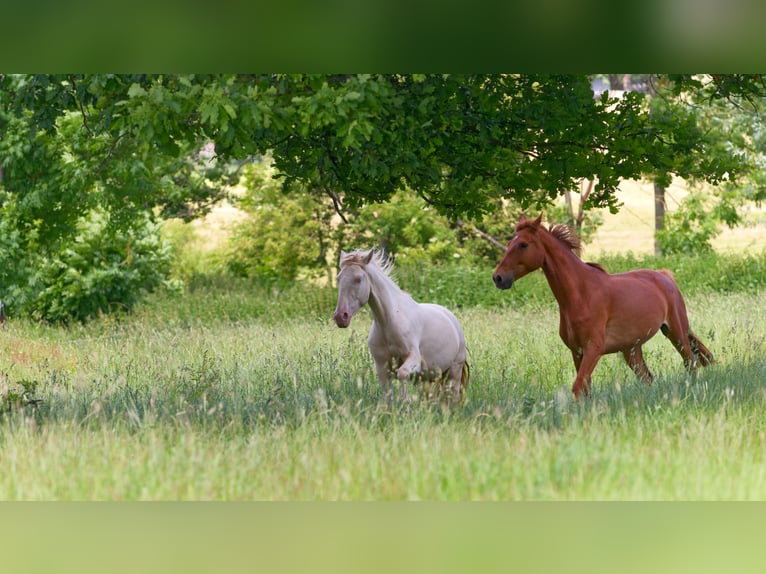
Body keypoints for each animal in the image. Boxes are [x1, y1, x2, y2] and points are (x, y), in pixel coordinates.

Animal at [332, 249, 472, 404]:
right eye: (338, 278)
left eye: (358, 279)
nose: (341, 317)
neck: (388, 321)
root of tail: (451, 318)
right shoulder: (382, 367)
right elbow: (388, 396)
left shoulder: (413, 359)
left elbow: (402, 374)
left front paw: (406, 402)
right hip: (427, 378)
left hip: (454, 371)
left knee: (453, 396)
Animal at [496, 214, 716, 398]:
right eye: (510, 242)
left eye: (523, 244)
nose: (498, 278)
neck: (580, 294)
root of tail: (665, 276)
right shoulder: (577, 351)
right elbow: (585, 388)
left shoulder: (594, 348)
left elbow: (578, 386)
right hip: (632, 349)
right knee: (647, 377)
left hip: (676, 333)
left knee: (690, 364)